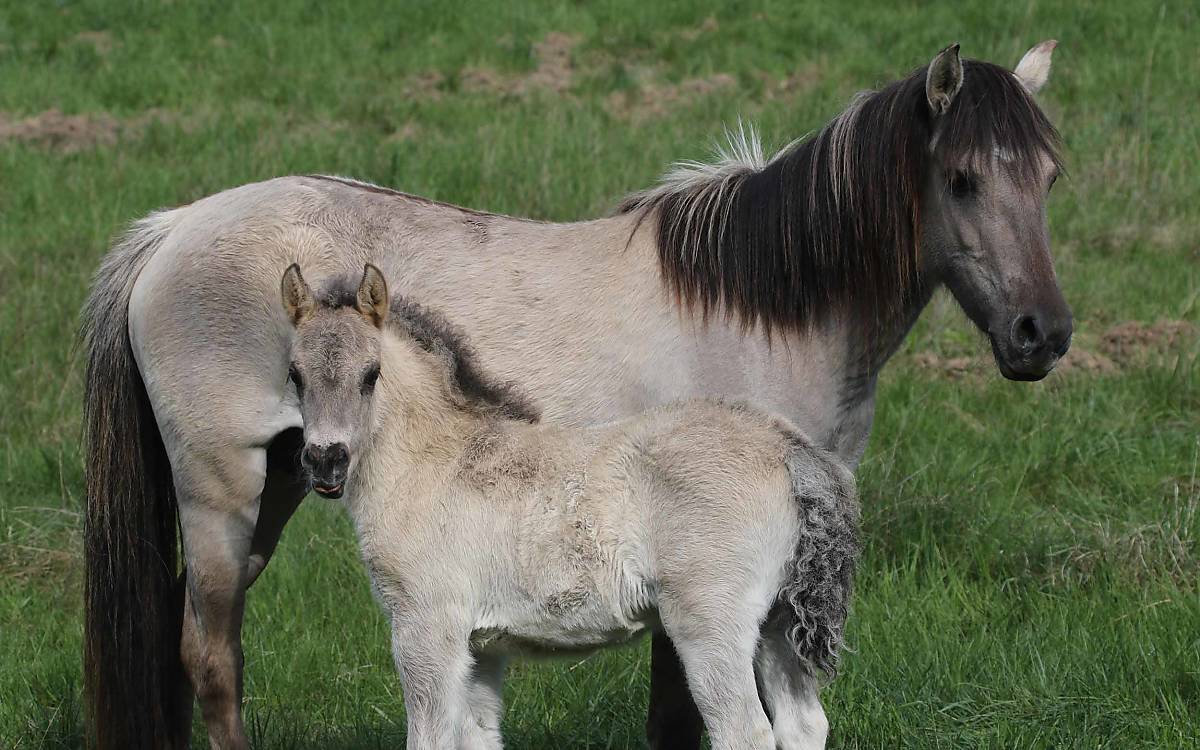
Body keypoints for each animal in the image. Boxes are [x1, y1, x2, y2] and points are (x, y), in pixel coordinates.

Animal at [279, 261, 859, 748]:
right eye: (295, 374)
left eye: (371, 374)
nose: (325, 462)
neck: (432, 461)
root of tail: (788, 448)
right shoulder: (483, 647)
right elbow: (478, 737)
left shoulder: (426, 628)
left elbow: (430, 739)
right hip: (777, 624)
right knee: (803, 726)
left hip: (710, 625)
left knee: (744, 733)